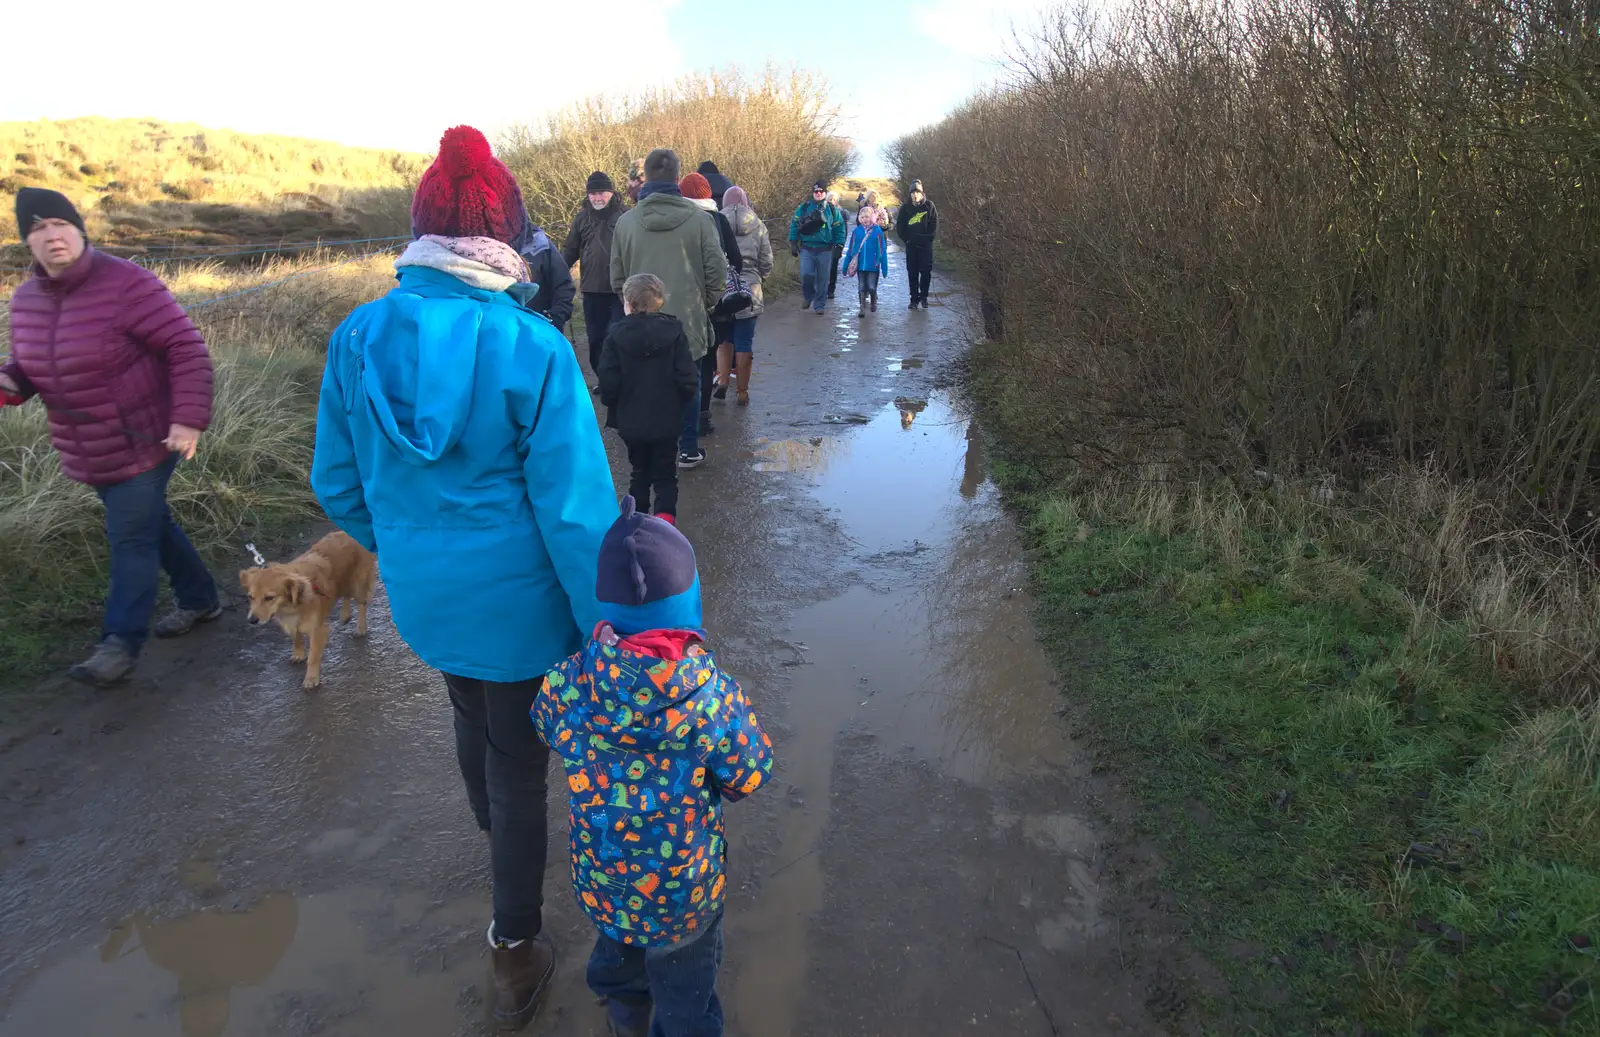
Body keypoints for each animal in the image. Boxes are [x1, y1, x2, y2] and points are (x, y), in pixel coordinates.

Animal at [238, 534, 379, 688]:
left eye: (269, 598)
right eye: (250, 597)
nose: (252, 620)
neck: (291, 607)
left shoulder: (318, 630)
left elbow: (313, 656)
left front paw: (311, 678)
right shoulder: (290, 623)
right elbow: (296, 637)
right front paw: (298, 653)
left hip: (358, 585)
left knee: (361, 603)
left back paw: (360, 627)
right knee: (344, 593)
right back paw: (345, 615)